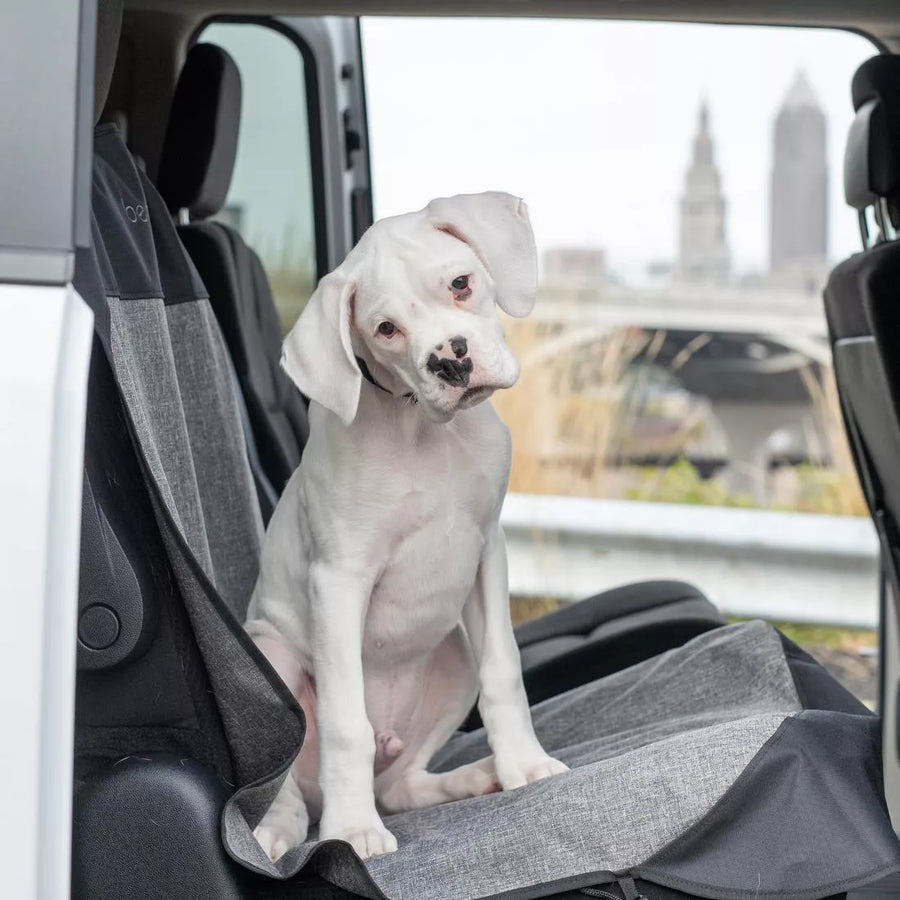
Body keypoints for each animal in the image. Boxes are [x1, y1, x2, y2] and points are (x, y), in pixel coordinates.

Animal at [246, 193, 568, 860]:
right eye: (386, 329)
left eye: (460, 283)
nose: (449, 360)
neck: (425, 432)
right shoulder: (338, 580)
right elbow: (346, 722)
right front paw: (352, 833)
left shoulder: (486, 548)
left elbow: (506, 670)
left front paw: (526, 767)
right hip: (272, 658)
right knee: (289, 789)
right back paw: (282, 832)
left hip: (453, 657)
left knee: (400, 785)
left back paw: (473, 777)